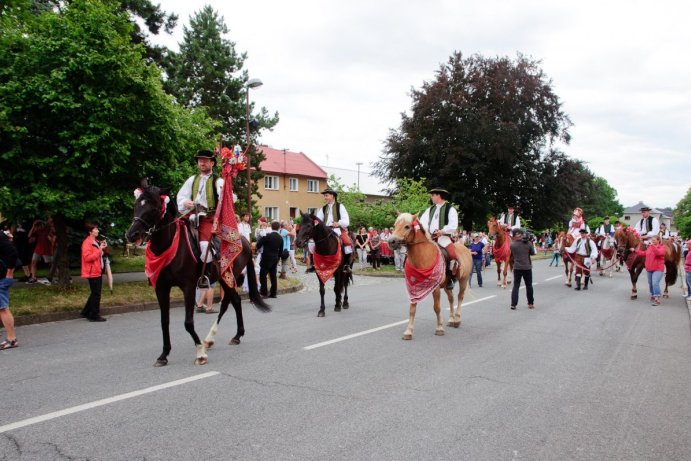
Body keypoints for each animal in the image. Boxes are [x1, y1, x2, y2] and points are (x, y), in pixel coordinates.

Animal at [125, 183, 268, 366]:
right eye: (137, 205)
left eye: (154, 208)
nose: (132, 235)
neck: (171, 246)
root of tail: (245, 240)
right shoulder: (161, 288)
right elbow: (164, 321)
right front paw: (164, 355)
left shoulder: (189, 286)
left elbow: (188, 322)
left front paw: (200, 352)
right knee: (233, 301)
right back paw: (222, 337)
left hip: (227, 277)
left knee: (230, 302)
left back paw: (222, 338)